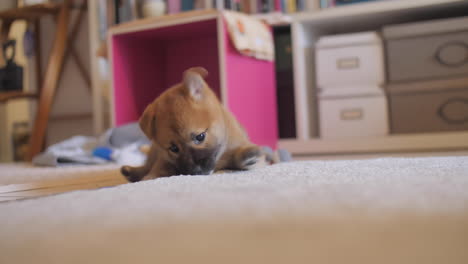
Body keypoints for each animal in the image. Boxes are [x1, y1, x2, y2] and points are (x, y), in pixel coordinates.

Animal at [120, 66, 266, 182]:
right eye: (174, 148)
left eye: (200, 137)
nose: (195, 172)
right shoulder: (165, 159)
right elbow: (159, 168)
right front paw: (150, 177)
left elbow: (243, 157)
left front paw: (247, 156)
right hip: (154, 153)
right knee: (147, 165)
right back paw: (131, 171)